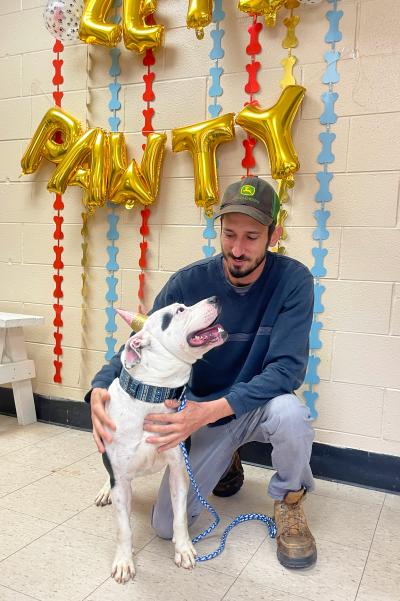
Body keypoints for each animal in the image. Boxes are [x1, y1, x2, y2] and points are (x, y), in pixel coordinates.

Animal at [95, 298, 227, 584]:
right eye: (179, 311)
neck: (152, 394)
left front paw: (184, 549)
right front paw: (124, 562)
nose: (215, 299)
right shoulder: (121, 480)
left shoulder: (178, 470)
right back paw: (104, 490)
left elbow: (178, 517)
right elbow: (124, 528)